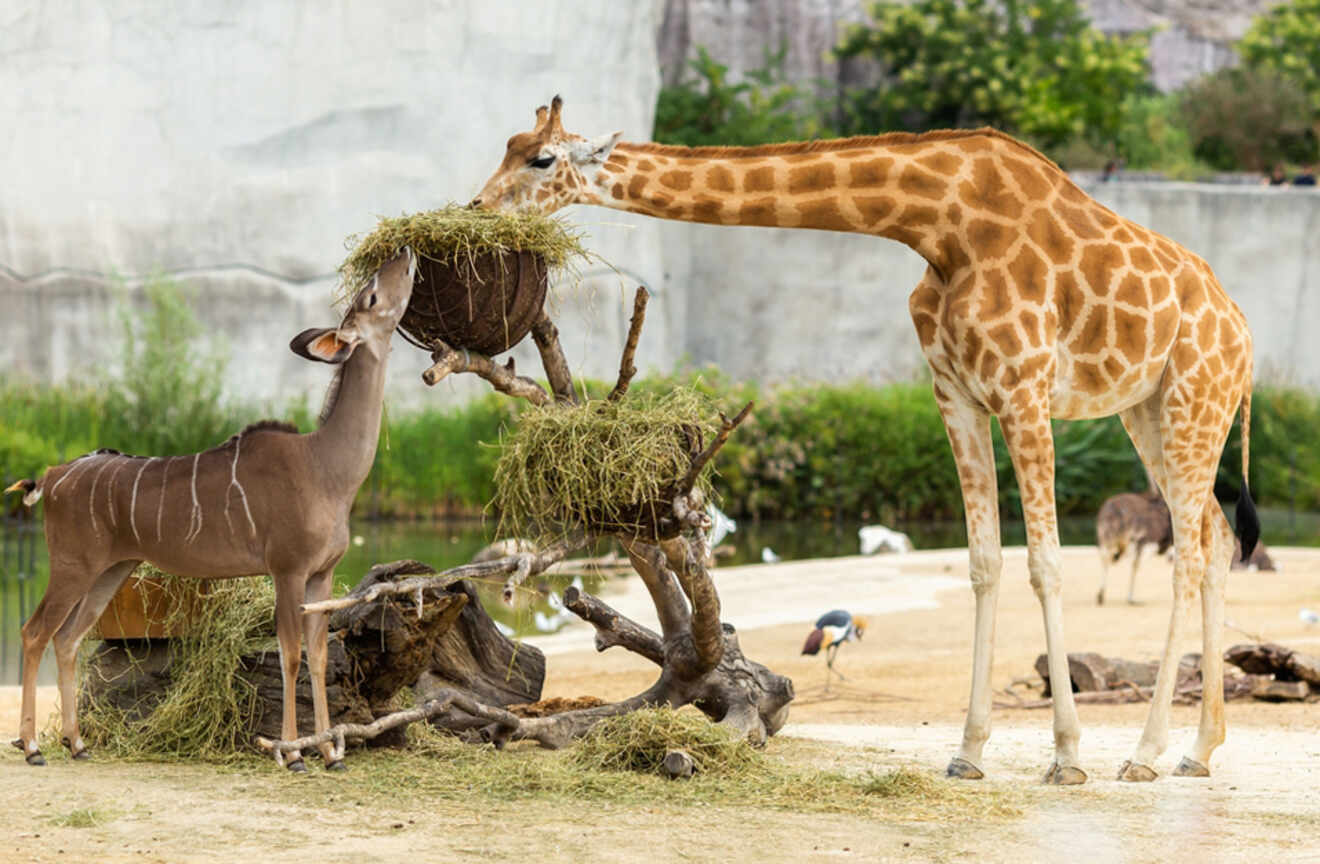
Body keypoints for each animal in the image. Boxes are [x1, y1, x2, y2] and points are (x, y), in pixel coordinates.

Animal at [6, 247, 417, 770]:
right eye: (371, 295)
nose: (405, 254)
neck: (326, 466)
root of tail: (52, 477)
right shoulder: (287, 569)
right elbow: (290, 653)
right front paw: (292, 754)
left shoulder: (321, 575)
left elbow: (320, 655)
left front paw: (330, 752)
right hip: (71, 566)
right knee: (34, 631)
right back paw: (33, 746)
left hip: (111, 571)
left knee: (68, 637)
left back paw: (77, 743)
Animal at [475, 96, 1256, 786]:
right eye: (506, 145)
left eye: (541, 159)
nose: (479, 210)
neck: (939, 225)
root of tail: (1244, 334)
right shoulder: (956, 393)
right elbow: (983, 563)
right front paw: (968, 751)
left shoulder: (1024, 390)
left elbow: (1046, 563)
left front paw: (1066, 757)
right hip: (1147, 410)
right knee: (1216, 537)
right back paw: (1199, 750)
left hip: (1194, 398)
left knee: (1189, 551)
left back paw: (1146, 753)